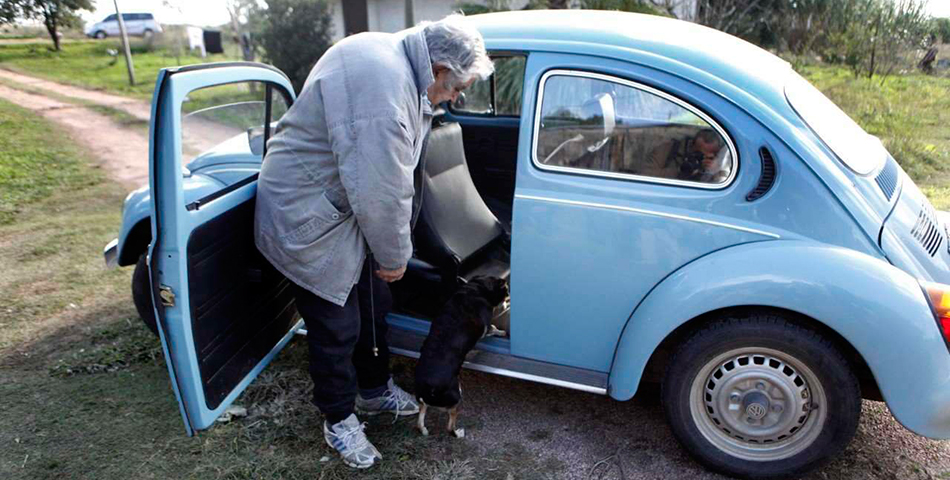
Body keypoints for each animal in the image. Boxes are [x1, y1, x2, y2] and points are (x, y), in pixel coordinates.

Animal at [414, 276, 510, 436]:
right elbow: (493, 328)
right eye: (506, 293)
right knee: (450, 424)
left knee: (421, 413)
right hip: (456, 394)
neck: (476, 289)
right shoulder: (486, 327)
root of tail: (428, 389)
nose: (507, 302)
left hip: (426, 401)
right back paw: (457, 433)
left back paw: (423, 429)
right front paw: (502, 332)